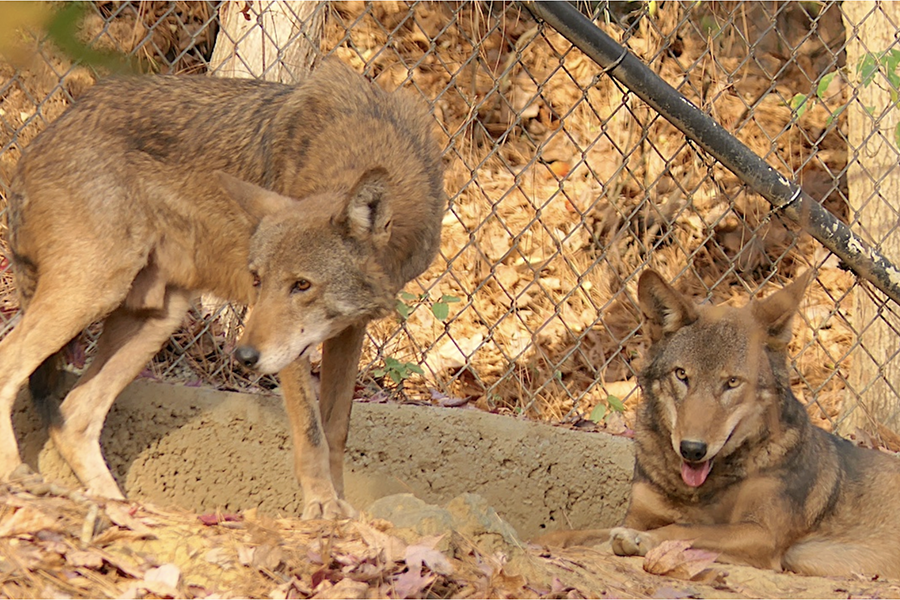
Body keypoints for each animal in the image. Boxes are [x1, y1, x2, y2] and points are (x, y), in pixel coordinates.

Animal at [0, 58, 445, 519]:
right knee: (10, 367)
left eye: (302, 285)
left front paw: (339, 507)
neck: (370, 143)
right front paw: (322, 506)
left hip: (158, 318)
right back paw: (17, 476)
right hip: (95, 291)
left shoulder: (349, 329)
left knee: (74, 415)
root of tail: (36, 143)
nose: (244, 357)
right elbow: (311, 433)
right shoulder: (290, 352)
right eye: (257, 280)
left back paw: (119, 507)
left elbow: (336, 429)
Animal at [537, 268, 900, 579]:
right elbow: (570, 534)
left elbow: (681, 529)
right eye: (682, 375)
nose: (692, 450)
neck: (696, 492)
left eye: (732, 382)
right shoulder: (638, 514)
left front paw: (639, 541)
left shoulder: (761, 534)